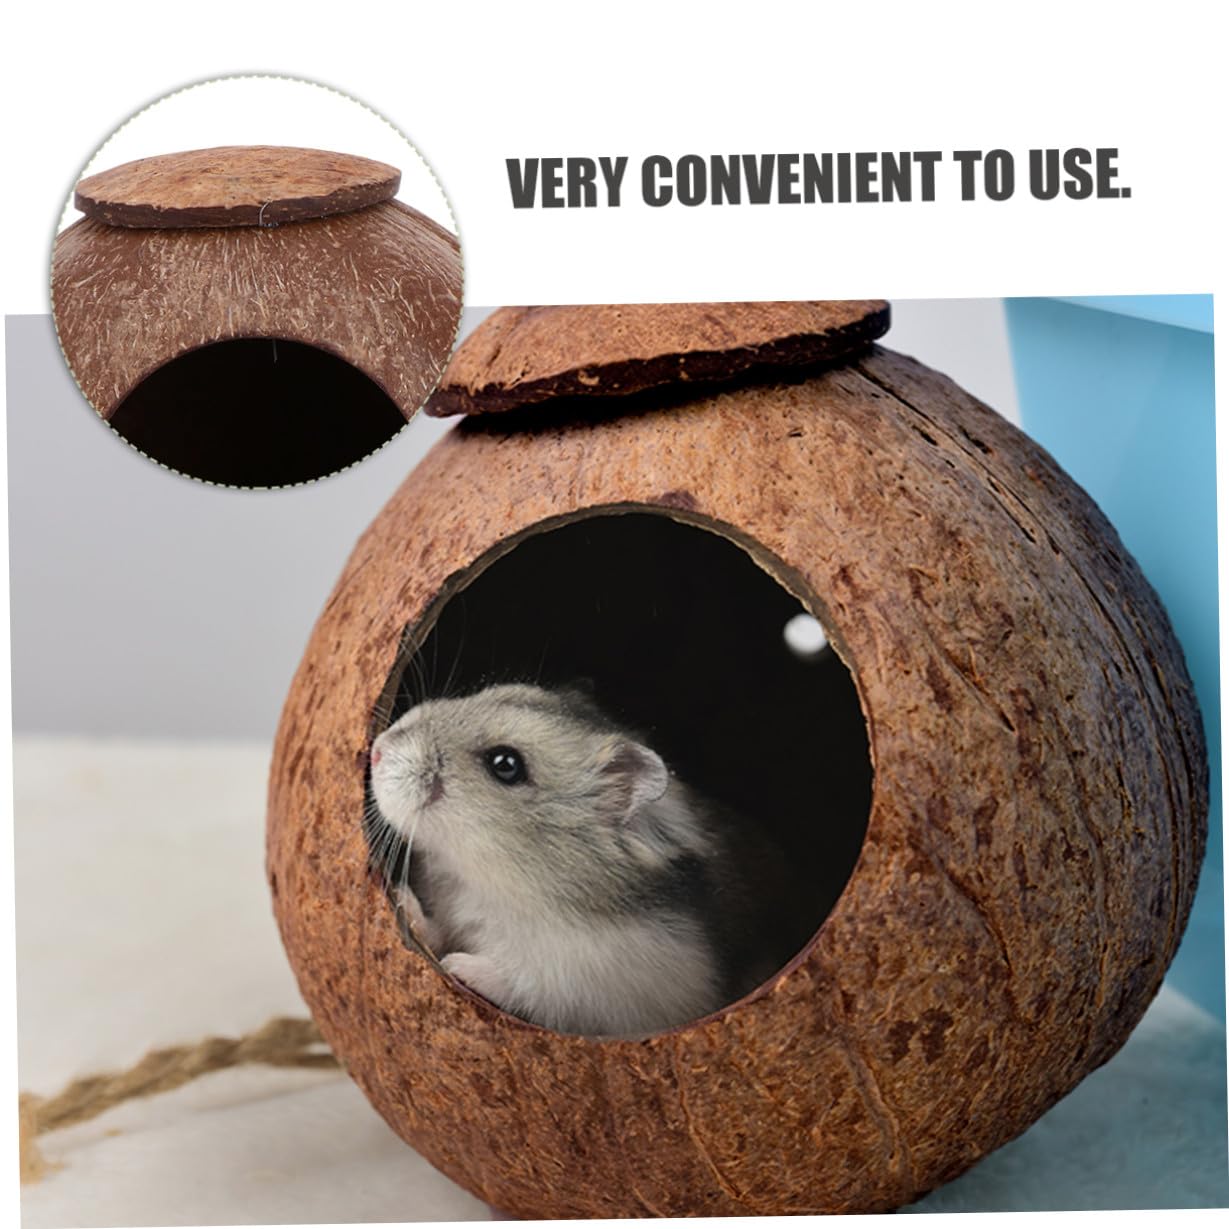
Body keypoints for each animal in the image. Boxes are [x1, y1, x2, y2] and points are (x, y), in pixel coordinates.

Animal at [367, 682, 797, 1038]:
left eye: (505, 764)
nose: (376, 751)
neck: (494, 884)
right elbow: (436, 930)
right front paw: (404, 902)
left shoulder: (610, 986)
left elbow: (533, 983)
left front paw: (461, 967)